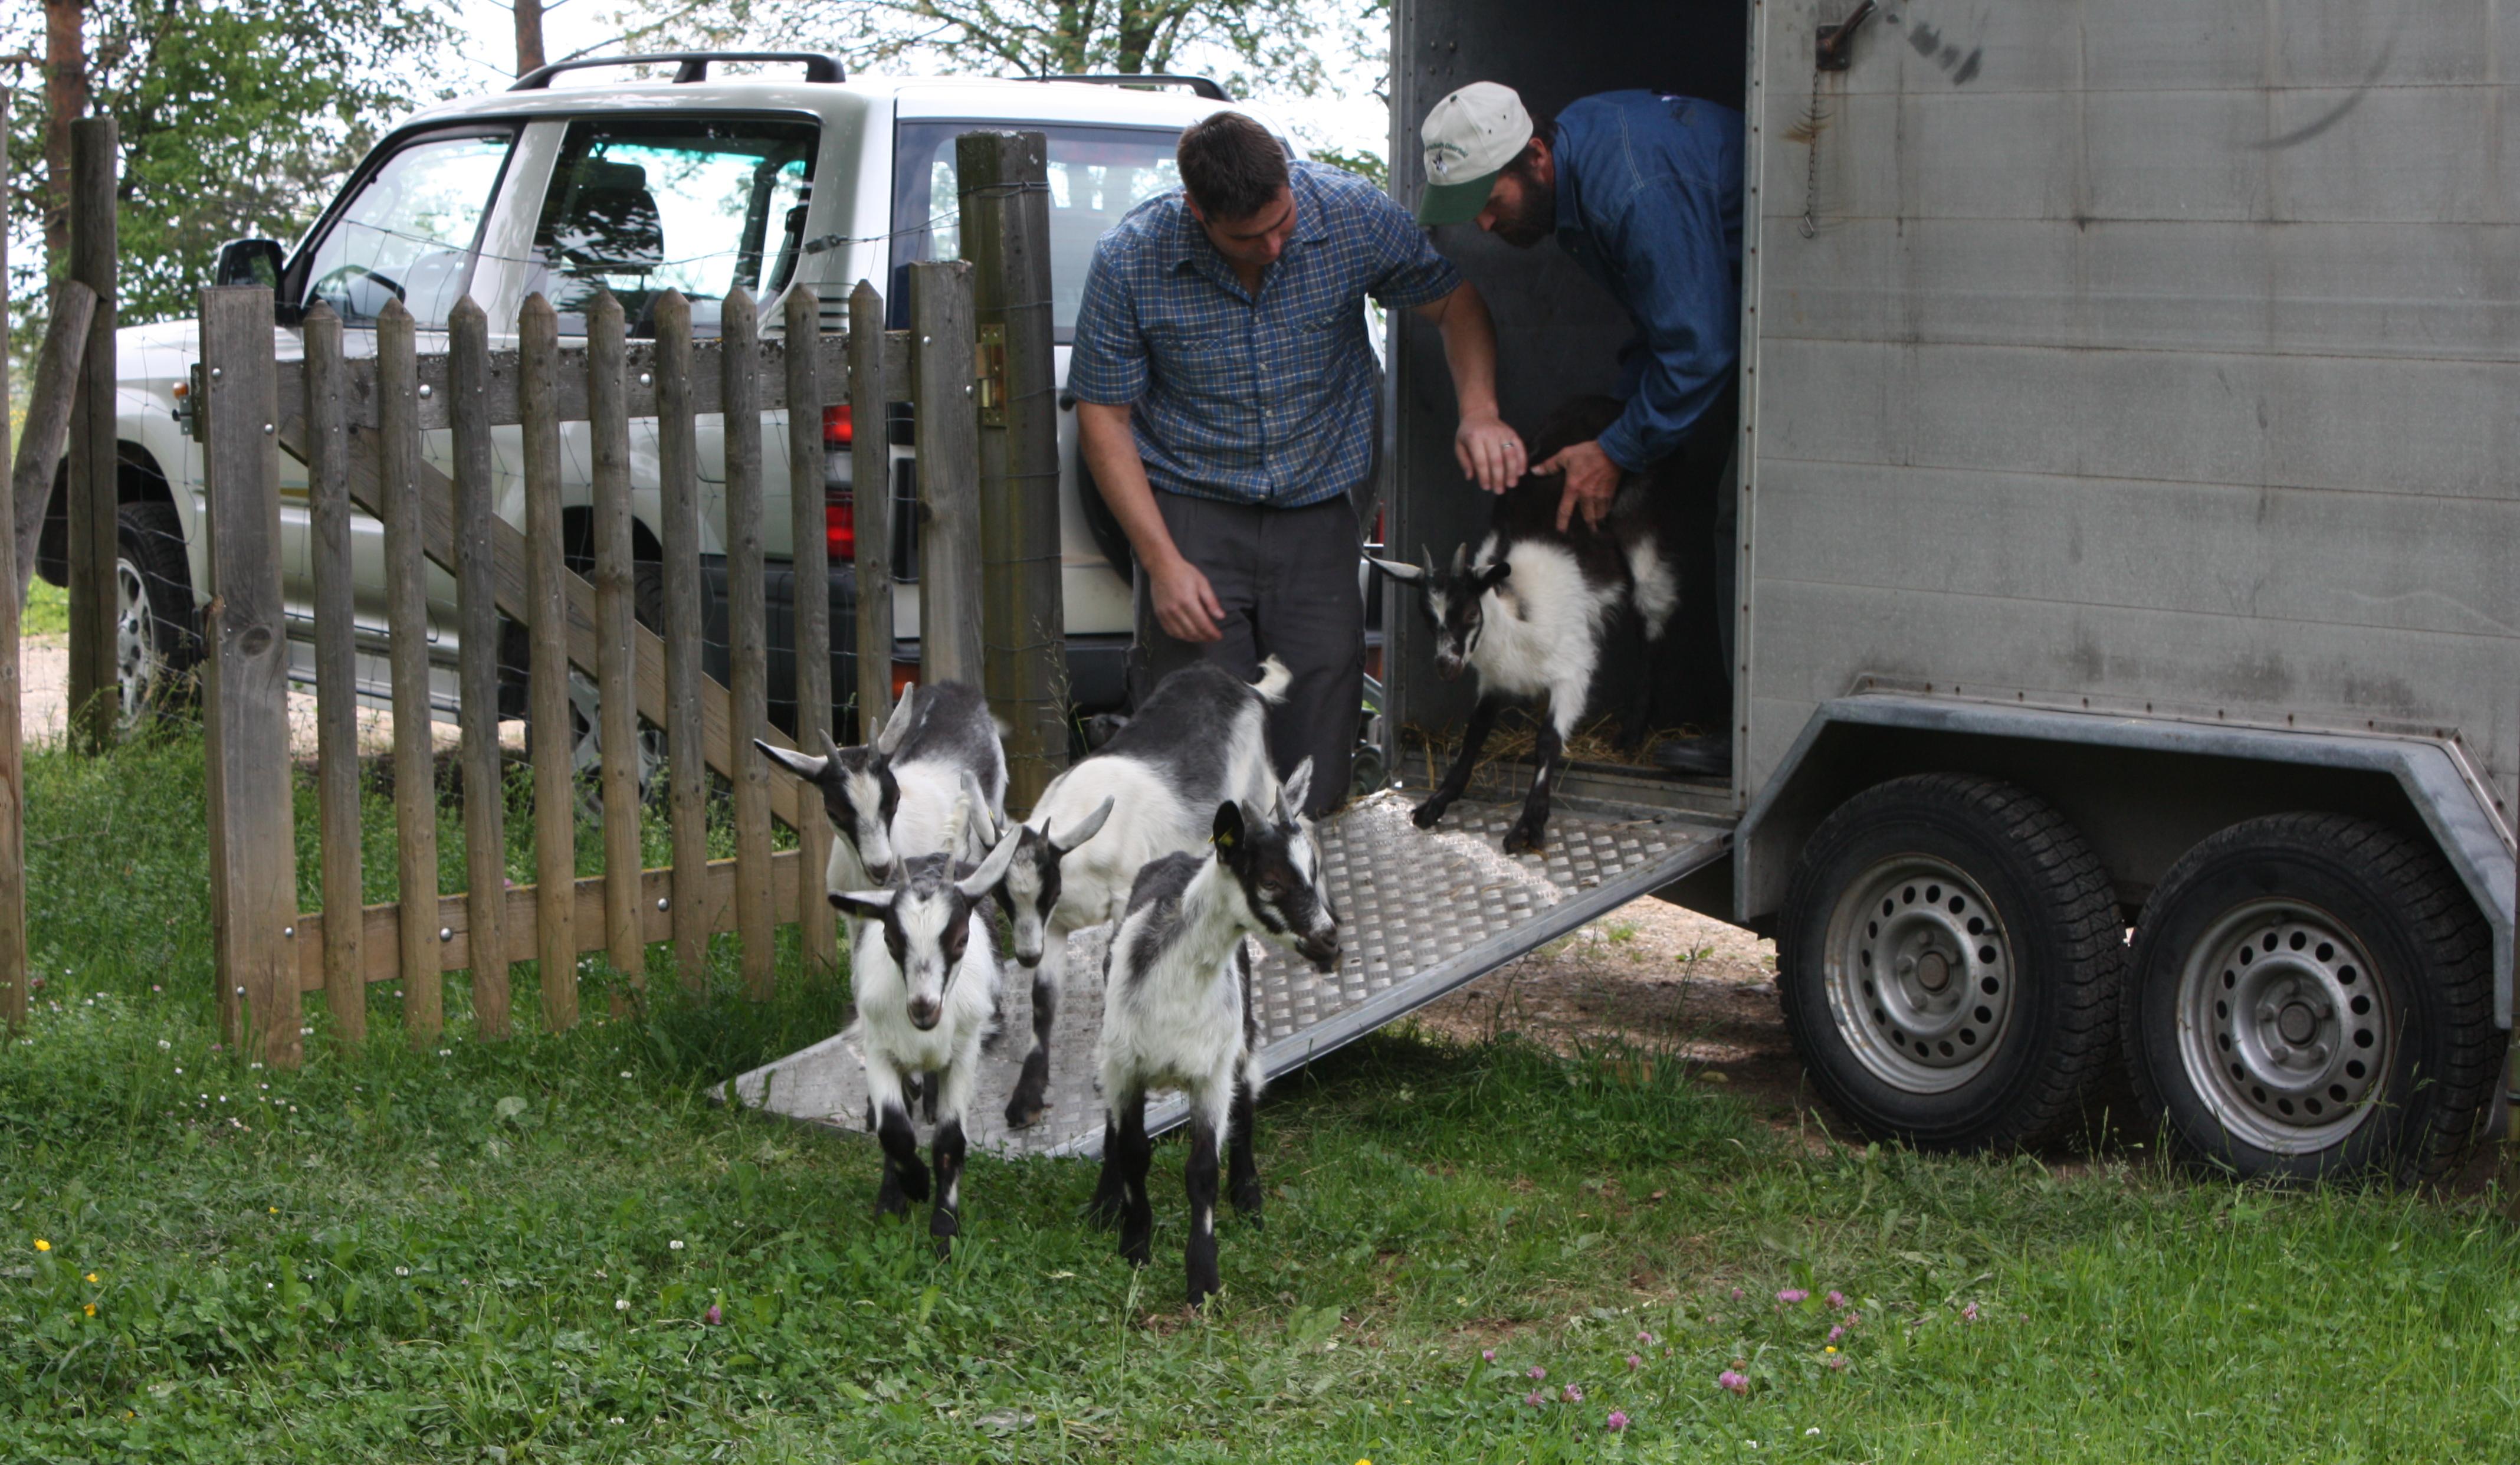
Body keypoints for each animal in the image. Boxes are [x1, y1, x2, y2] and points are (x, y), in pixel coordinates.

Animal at [826, 786, 1023, 1256]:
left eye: (961, 939)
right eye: (890, 939)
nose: (923, 1007)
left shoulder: (965, 1052)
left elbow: (951, 1141)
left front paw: (944, 1229)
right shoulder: (879, 1047)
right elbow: (894, 1132)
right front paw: (905, 1191)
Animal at [977, 656, 1300, 1125]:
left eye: (1046, 889)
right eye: (1003, 896)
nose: (1025, 955)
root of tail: (1246, 687)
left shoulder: (1122, 896)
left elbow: (1112, 964)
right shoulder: (1051, 926)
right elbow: (1043, 999)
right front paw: (1027, 1096)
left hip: (1259, 791)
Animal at [1094, 761, 1350, 1311]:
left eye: (1315, 871)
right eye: (1271, 880)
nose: (1329, 942)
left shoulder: (1210, 1072)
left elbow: (1202, 1171)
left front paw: (1203, 1278)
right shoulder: (1125, 1066)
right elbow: (1132, 1150)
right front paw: (1134, 1242)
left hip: (1243, 1037)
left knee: (1248, 1103)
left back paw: (1249, 1198)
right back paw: (1103, 1203)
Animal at [1370, 401, 1683, 857]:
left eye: (1470, 613)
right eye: (1428, 617)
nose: (1446, 666)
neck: (1514, 613)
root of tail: (1606, 403)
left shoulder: (1573, 670)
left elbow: (1547, 740)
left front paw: (1529, 824)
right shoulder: (1493, 679)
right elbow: (1475, 733)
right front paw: (1436, 803)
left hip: (1642, 528)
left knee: (1653, 614)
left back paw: (1632, 731)